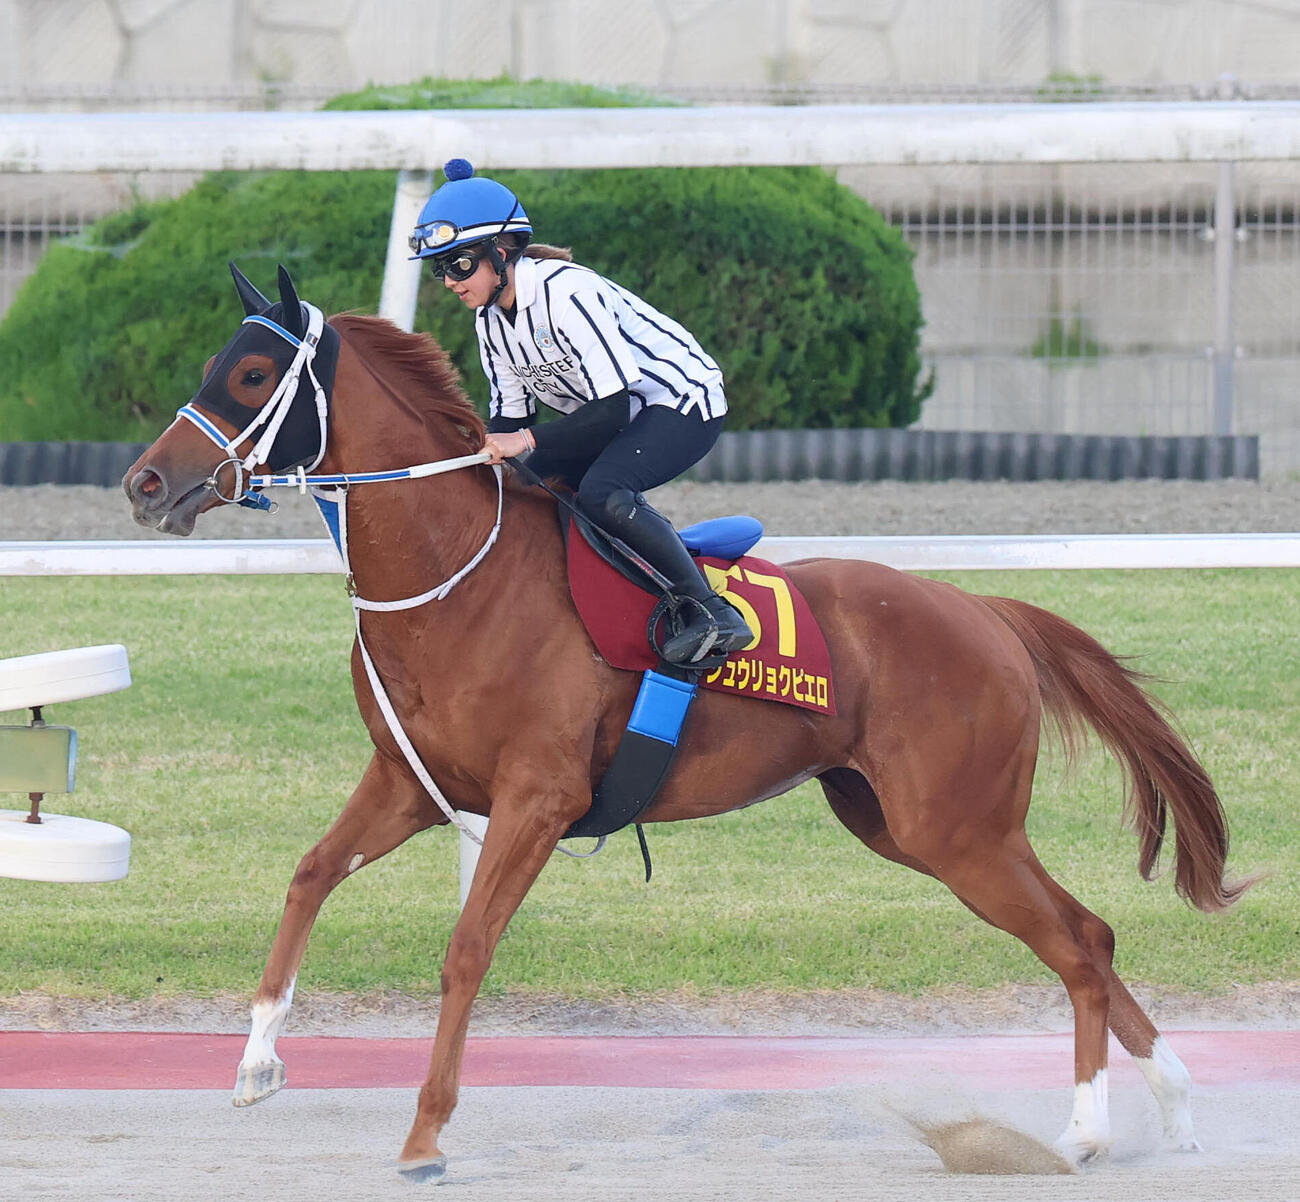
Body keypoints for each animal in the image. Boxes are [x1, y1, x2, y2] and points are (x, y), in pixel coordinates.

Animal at [124, 265, 1248, 1183]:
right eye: (217, 363)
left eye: (252, 373)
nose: (144, 481)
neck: (457, 578)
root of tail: (986, 611)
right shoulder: (411, 785)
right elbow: (309, 875)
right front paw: (257, 1060)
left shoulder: (537, 799)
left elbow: (467, 948)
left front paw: (425, 1134)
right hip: (904, 825)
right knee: (1090, 934)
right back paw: (1174, 1104)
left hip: (959, 831)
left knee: (1075, 943)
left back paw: (1086, 1132)